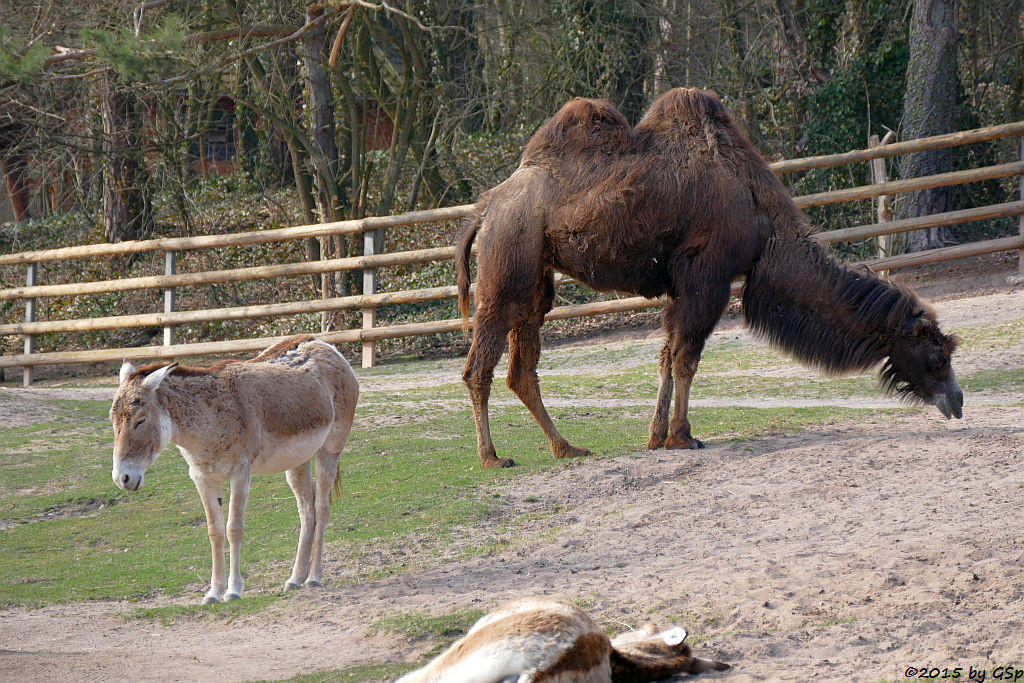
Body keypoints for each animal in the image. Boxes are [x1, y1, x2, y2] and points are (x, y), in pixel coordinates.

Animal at [110, 335, 358, 602]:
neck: (209, 419)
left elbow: (234, 529)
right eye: (113, 420)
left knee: (322, 507)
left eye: (140, 420)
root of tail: (324, 345)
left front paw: (233, 591)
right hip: (298, 461)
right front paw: (213, 592)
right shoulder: (202, 477)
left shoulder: (240, 472)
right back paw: (295, 579)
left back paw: (314, 577)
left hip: (329, 450)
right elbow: (215, 531)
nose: (122, 478)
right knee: (306, 511)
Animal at [460, 89, 962, 471]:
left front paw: (656, 436)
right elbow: (686, 359)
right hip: (508, 263)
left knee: (522, 368)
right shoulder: (708, 278)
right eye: (936, 355)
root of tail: (485, 207)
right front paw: (683, 437)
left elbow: (667, 357)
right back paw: (492, 458)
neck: (763, 222)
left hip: (536, 281)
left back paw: (567, 448)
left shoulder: (683, 288)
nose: (957, 400)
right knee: (479, 366)